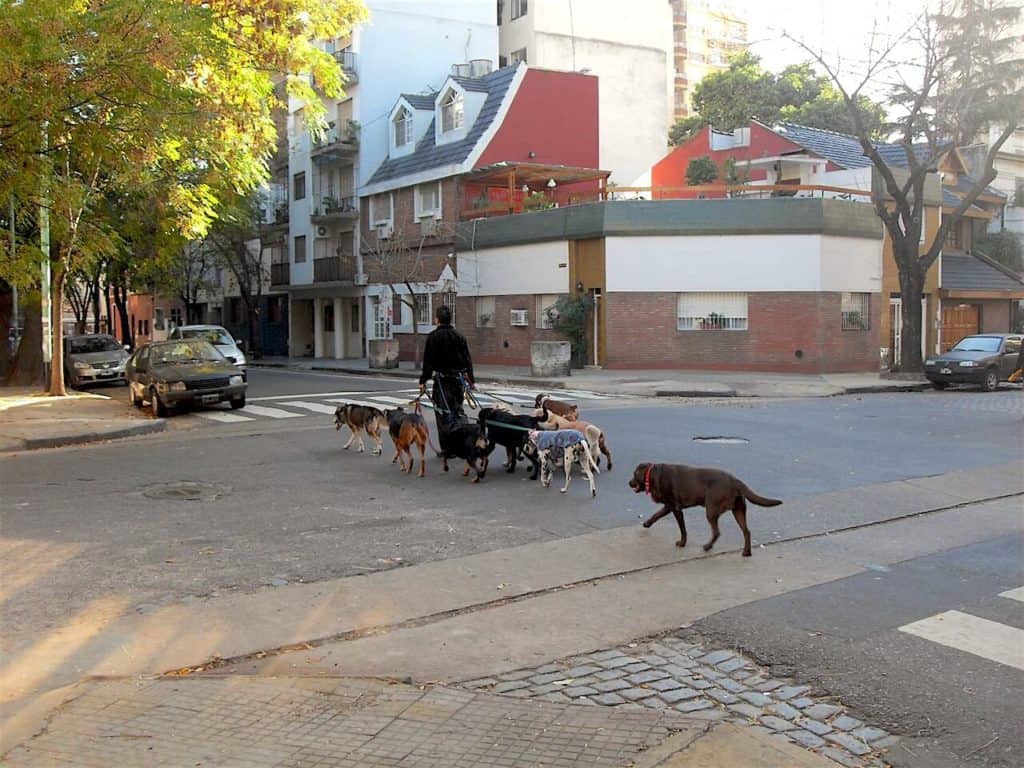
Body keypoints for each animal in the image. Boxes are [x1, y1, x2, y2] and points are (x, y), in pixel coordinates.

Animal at [622, 466, 782, 557]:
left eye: (634, 474)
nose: (628, 482)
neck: (652, 474)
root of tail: (735, 481)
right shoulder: (668, 506)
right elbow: (656, 515)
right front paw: (647, 523)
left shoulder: (675, 507)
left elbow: (683, 529)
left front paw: (682, 543)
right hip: (739, 510)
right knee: (746, 531)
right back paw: (746, 553)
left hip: (711, 510)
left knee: (717, 532)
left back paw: (707, 546)